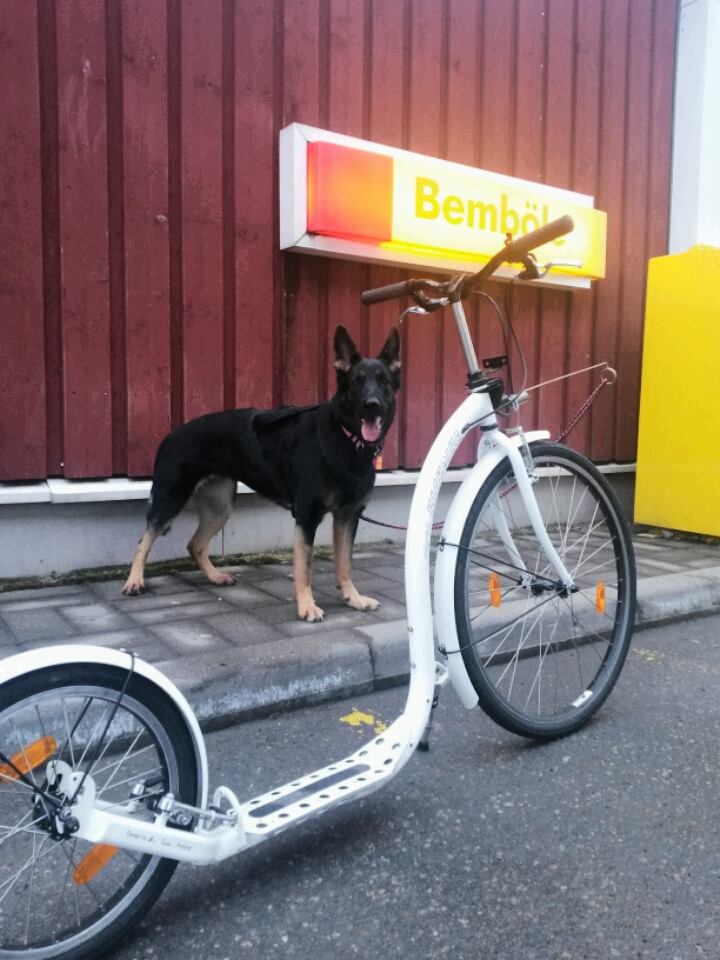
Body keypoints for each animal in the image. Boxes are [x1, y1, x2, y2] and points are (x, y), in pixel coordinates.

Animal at [122, 325, 401, 622]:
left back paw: (215, 576)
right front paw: (306, 606)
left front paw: (353, 598)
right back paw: (134, 581)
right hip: (171, 499)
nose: (372, 405)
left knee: (194, 544)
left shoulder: (348, 516)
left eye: (383, 382)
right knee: (144, 539)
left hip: (220, 508)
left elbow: (345, 563)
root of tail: (170, 435)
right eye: (356, 382)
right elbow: (304, 568)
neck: (346, 439)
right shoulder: (307, 517)